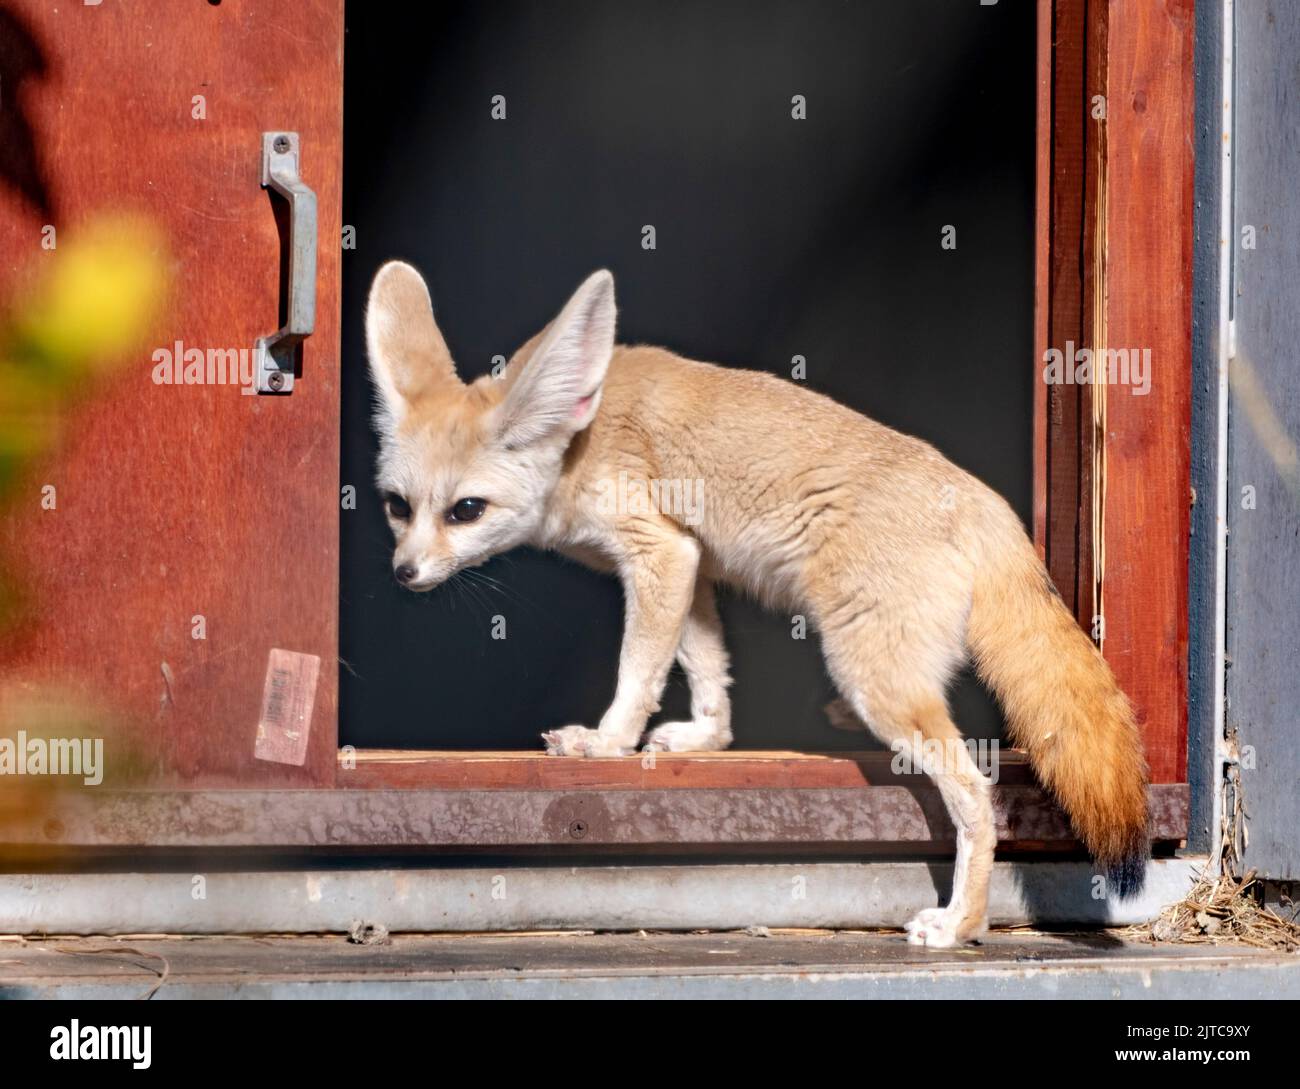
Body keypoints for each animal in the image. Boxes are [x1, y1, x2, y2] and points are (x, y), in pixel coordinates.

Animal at [366, 262, 1149, 946]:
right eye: (398, 506)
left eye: (466, 510)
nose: (402, 573)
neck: (578, 443)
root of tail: (985, 501)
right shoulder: (693, 564)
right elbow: (706, 670)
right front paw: (705, 739)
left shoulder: (659, 553)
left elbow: (637, 673)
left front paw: (606, 743)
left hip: (879, 685)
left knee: (978, 799)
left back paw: (961, 923)